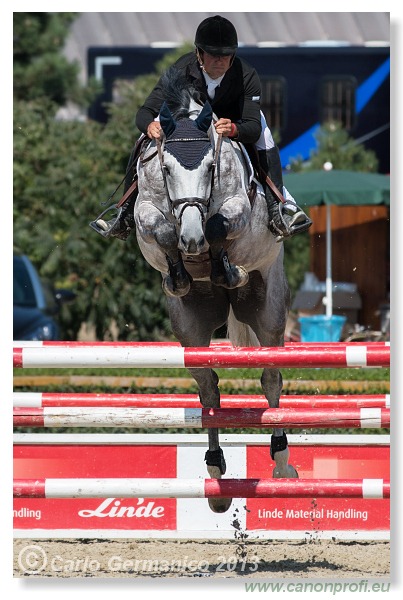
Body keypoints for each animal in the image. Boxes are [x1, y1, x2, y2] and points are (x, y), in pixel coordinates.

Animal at [134, 69, 298, 510]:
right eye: (166, 169)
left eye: (211, 168)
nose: (191, 242)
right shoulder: (146, 213)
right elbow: (158, 226)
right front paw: (178, 267)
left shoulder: (237, 208)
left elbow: (220, 223)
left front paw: (225, 263)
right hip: (190, 328)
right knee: (209, 390)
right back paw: (215, 474)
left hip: (268, 313)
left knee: (271, 379)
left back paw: (282, 465)